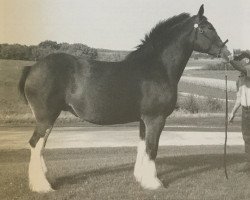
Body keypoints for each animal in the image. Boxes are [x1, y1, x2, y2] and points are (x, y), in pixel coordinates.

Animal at [19, 4, 230, 192]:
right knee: (35, 143)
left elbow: (142, 146)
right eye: (207, 28)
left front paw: (141, 179)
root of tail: (33, 68)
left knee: (40, 145)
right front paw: (154, 183)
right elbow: (152, 148)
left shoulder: (144, 120)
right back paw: (42, 186)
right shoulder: (155, 119)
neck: (156, 67)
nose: (228, 53)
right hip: (46, 117)